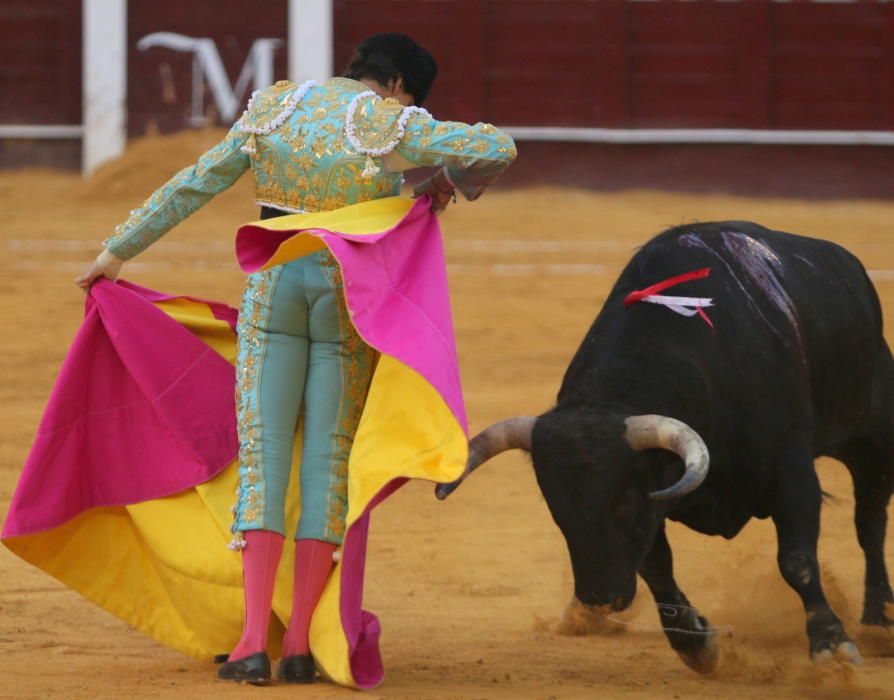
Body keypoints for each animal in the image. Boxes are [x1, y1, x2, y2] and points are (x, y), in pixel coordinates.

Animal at [440, 223, 894, 672]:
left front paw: (833, 645)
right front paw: (696, 643)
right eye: (556, 509)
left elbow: (797, 561)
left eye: (623, 500)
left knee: (869, 525)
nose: (599, 599)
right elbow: (657, 567)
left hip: (873, 439)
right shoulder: (654, 503)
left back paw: (879, 623)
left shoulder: (792, 475)